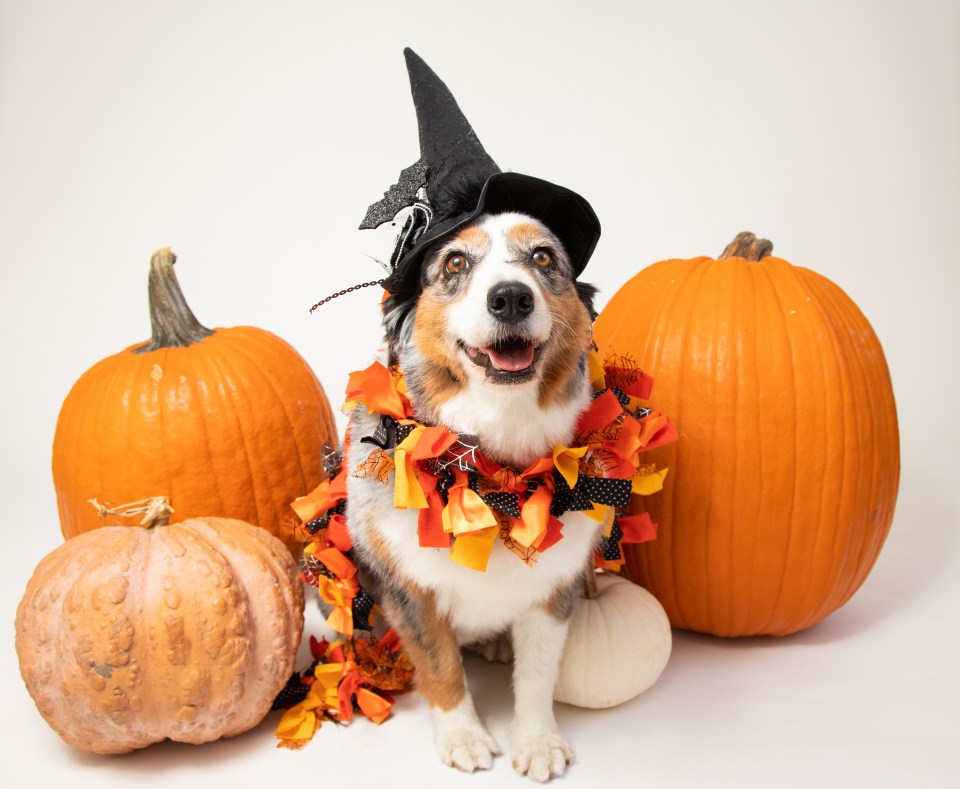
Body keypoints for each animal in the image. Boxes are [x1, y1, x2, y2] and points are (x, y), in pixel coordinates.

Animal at [344, 206, 600, 780]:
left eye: (542, 257)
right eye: (456, 262)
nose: (511, 297)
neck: (492, 478)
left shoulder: (554, 588)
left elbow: (538, 674)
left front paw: (537, 741)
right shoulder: (410, 588)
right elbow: (441, 668)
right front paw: (463, 737)